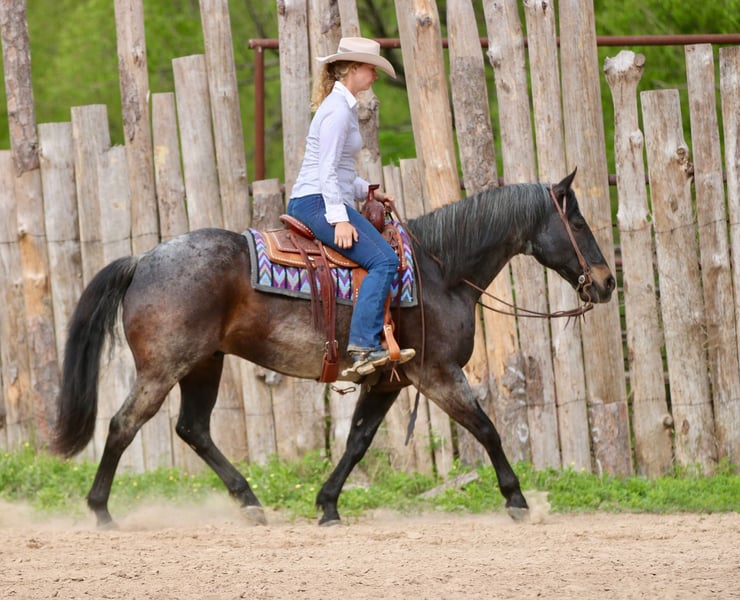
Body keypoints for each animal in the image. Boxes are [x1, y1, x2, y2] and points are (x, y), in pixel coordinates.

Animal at [52, 169, 615, 527]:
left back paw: (250, 503)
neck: (439, 272)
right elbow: (487, 429)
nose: (607, 282)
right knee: (123, 425)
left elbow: (357, 441)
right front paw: (517, 499)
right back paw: (101, 510)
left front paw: (327, 505)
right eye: (578, 223)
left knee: (193, 429)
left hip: (203, 365)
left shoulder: (390, 379)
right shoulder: (438, 373)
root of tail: (143, 260)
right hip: (164, 367)